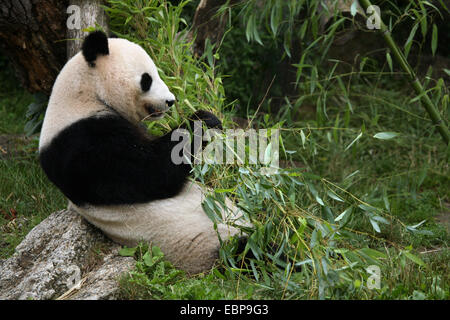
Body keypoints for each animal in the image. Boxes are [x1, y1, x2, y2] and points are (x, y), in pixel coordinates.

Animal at [39, 31, 248, 274]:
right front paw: (203, 120)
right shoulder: (84, 145)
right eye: (147, 79)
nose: (171, 101)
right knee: (248, 251)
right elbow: (151, 173)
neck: (84, 94)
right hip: (211, 244)